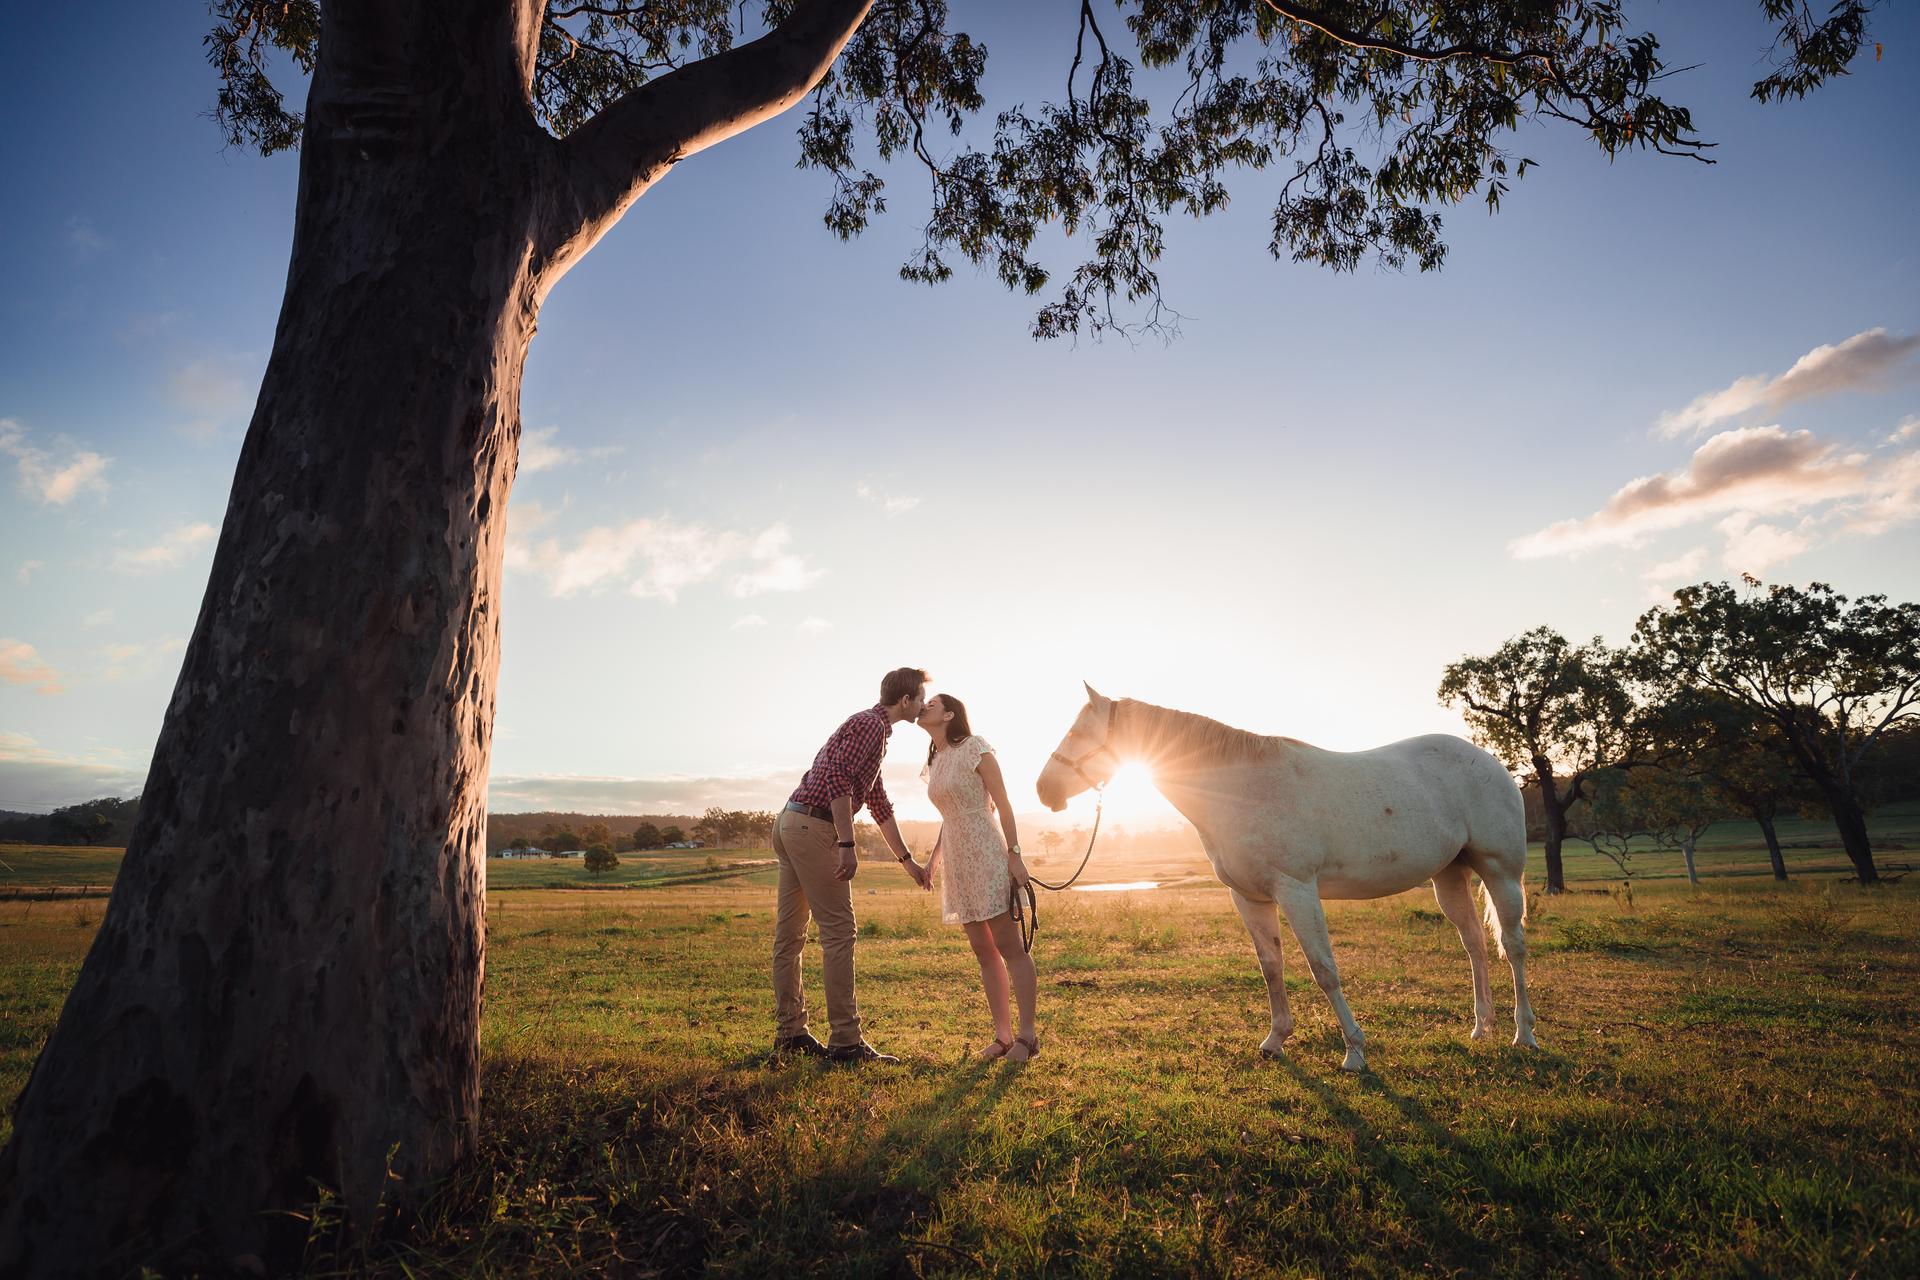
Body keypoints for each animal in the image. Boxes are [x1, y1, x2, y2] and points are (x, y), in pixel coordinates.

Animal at [1036, 685, 1538, 1072]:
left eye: (1077, 732)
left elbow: (1323, 970)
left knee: (1512, 946)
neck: (1241, 789)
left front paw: (1355, 1051)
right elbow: (1271, 967)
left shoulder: (1296, 890)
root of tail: (1489, 761)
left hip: (1500, 871)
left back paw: (1524, 1034)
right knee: (1474, 944)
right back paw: (1481, 1027)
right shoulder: (1249, 898)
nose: (1044, 790)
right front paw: (1275, 1041)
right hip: (1449, 877)